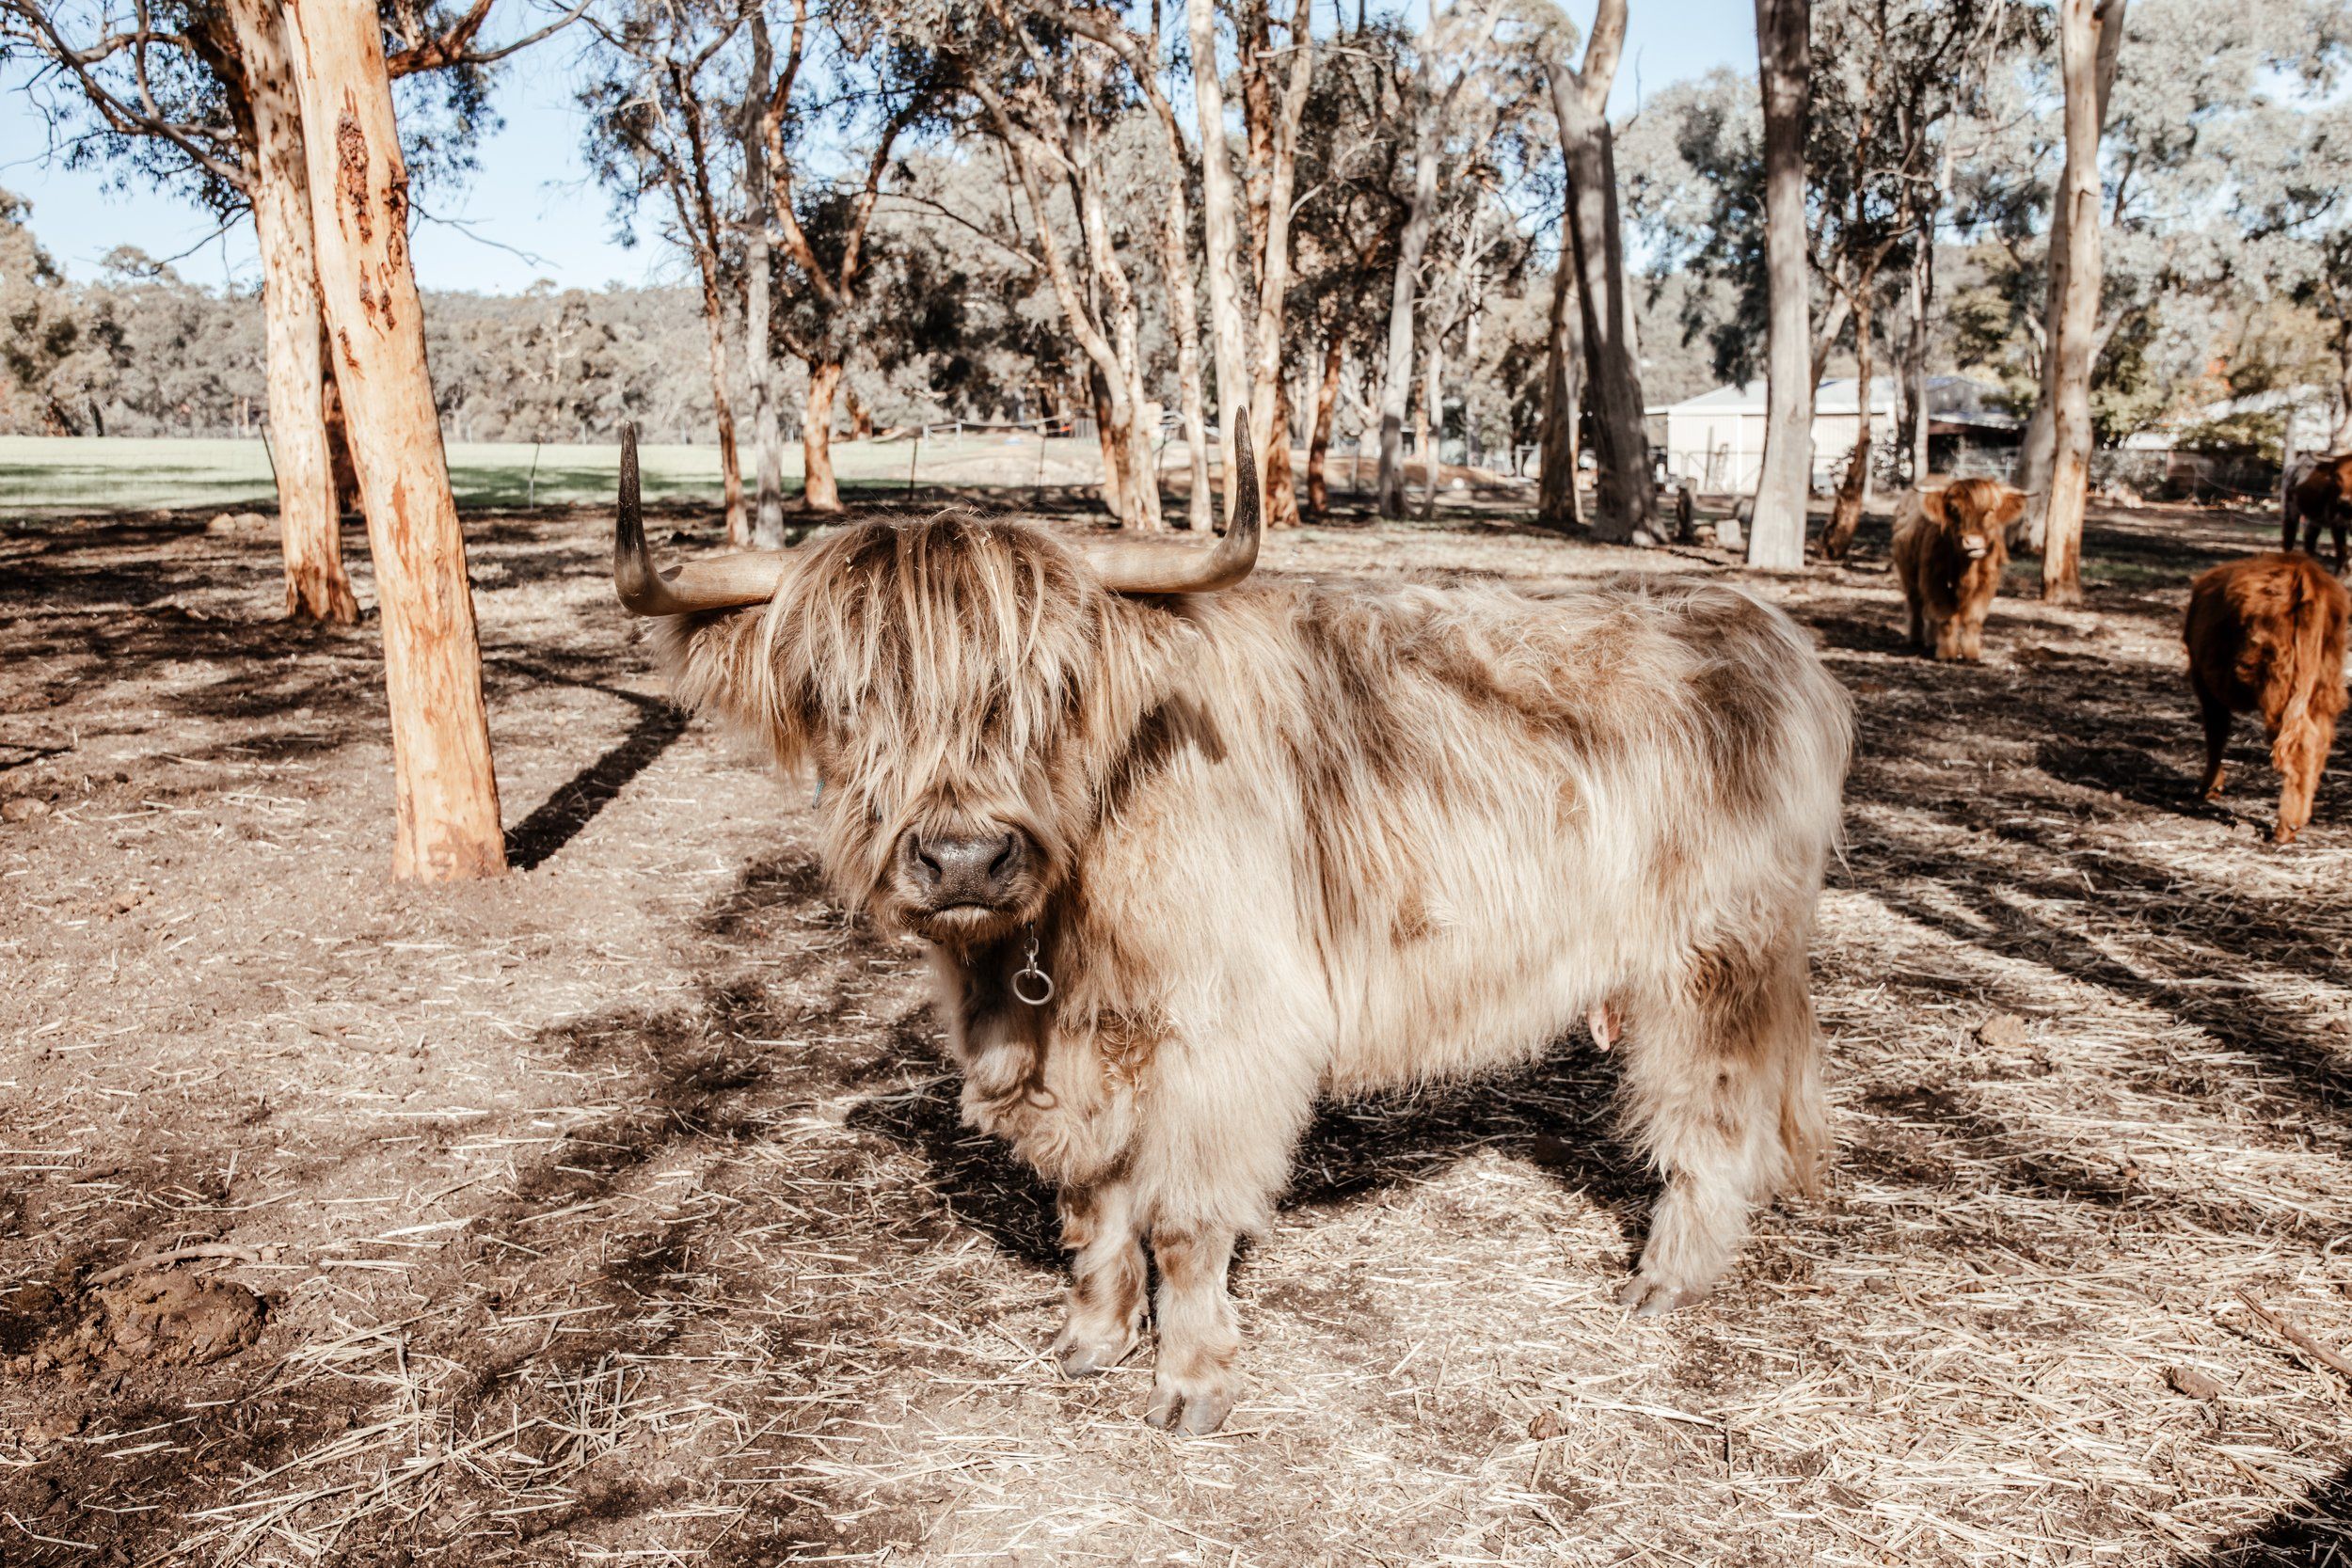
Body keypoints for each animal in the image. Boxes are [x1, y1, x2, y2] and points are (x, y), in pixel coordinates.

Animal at [611, 424, 1853, 1435]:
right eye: (848, 694)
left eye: (1050, 691)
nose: (962, 856)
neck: (1049, 949)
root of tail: (1759, 627)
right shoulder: (1076, 1063)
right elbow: (1093, 1209)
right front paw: (1092, 1338)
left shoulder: (1229, 1039)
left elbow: (1181, 1224)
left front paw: (1192, 1378)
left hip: (1712, 958)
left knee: (1714, 1108)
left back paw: (1667, 1276)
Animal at [1891, 479, 2026, 662]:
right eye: (1954, 509)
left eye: (1990, 510)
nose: (1973, 542)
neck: (1967, 568)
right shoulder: (1935, 579)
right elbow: (1946, 617)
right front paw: (1947, 653)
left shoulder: (1987, 582)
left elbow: (1973, 619)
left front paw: (1971, 654)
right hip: (1909, 574)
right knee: (1916, 604)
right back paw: (1916, 639)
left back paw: (1932, 641)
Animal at [2185, 552, 2349, 846]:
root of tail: (2303, 572)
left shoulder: (2204, 682)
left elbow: (2216, 734)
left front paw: (2209, 788)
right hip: (2323, 687)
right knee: (2320, 741)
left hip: (2279, 686)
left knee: (2300, 742)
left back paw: (2286, 827)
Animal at [2282, 453, 2351, 574]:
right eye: (2336, 476)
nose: (2344, 500)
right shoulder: (2337, 523)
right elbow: (2341, 552)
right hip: (2290, 509)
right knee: (2289, 536)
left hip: (2315, 518)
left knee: (2309, 539)